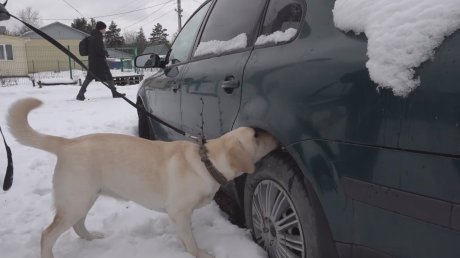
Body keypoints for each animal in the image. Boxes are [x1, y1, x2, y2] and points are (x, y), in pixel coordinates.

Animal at [7, 98, 278, 258]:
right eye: (256, 135)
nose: (275, 135)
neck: (208, 161)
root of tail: (66, 143)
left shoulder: (179, 216)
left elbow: (184, 237)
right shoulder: (179, 211)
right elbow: (191, 240)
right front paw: (200, 253)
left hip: (84, 198)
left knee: (78, 225)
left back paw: (92, 237)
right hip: (76, 200)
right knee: (47, 234)